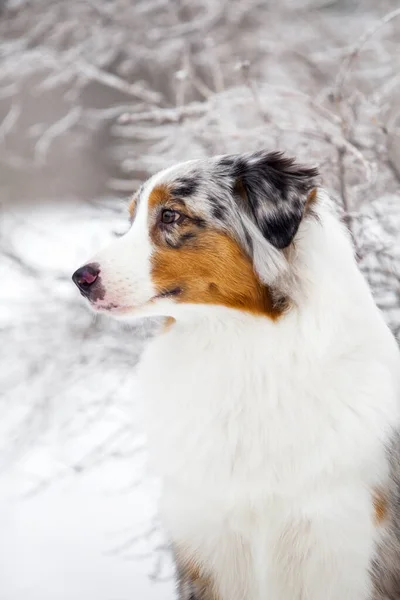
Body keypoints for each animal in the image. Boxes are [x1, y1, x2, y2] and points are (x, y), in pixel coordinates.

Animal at [72, 151, 400, 600]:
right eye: (131, 218)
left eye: (171, 215)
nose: (80, 278)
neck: (235, 344)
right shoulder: (208, 548)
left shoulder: (338, 547)